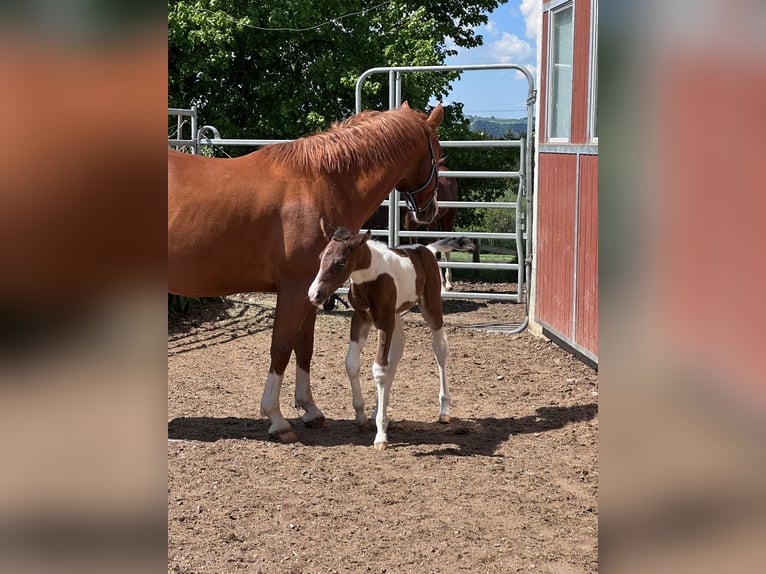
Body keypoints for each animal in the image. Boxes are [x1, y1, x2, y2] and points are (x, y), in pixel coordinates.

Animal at [168, 102, 444, 443]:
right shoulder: (295, 287)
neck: (320, 183)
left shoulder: (314, 291)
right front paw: (276, 418)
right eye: (438, 153)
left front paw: (310, 410)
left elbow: (304, 348)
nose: (430, 212)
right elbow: (281, 347)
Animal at [307, 219, 474, 449]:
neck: (369, 278)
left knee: (440, 348)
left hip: (430, 306)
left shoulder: (384, 320)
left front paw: (381, 435)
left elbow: (379, 369)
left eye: (341, 262)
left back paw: (444, 411)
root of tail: (426, 249)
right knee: (397, 351)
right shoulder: (361, 318)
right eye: (321, 257)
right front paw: (362, 416)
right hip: (396, 314)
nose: (314, 295)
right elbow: (352, 363)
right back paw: (379, 409)